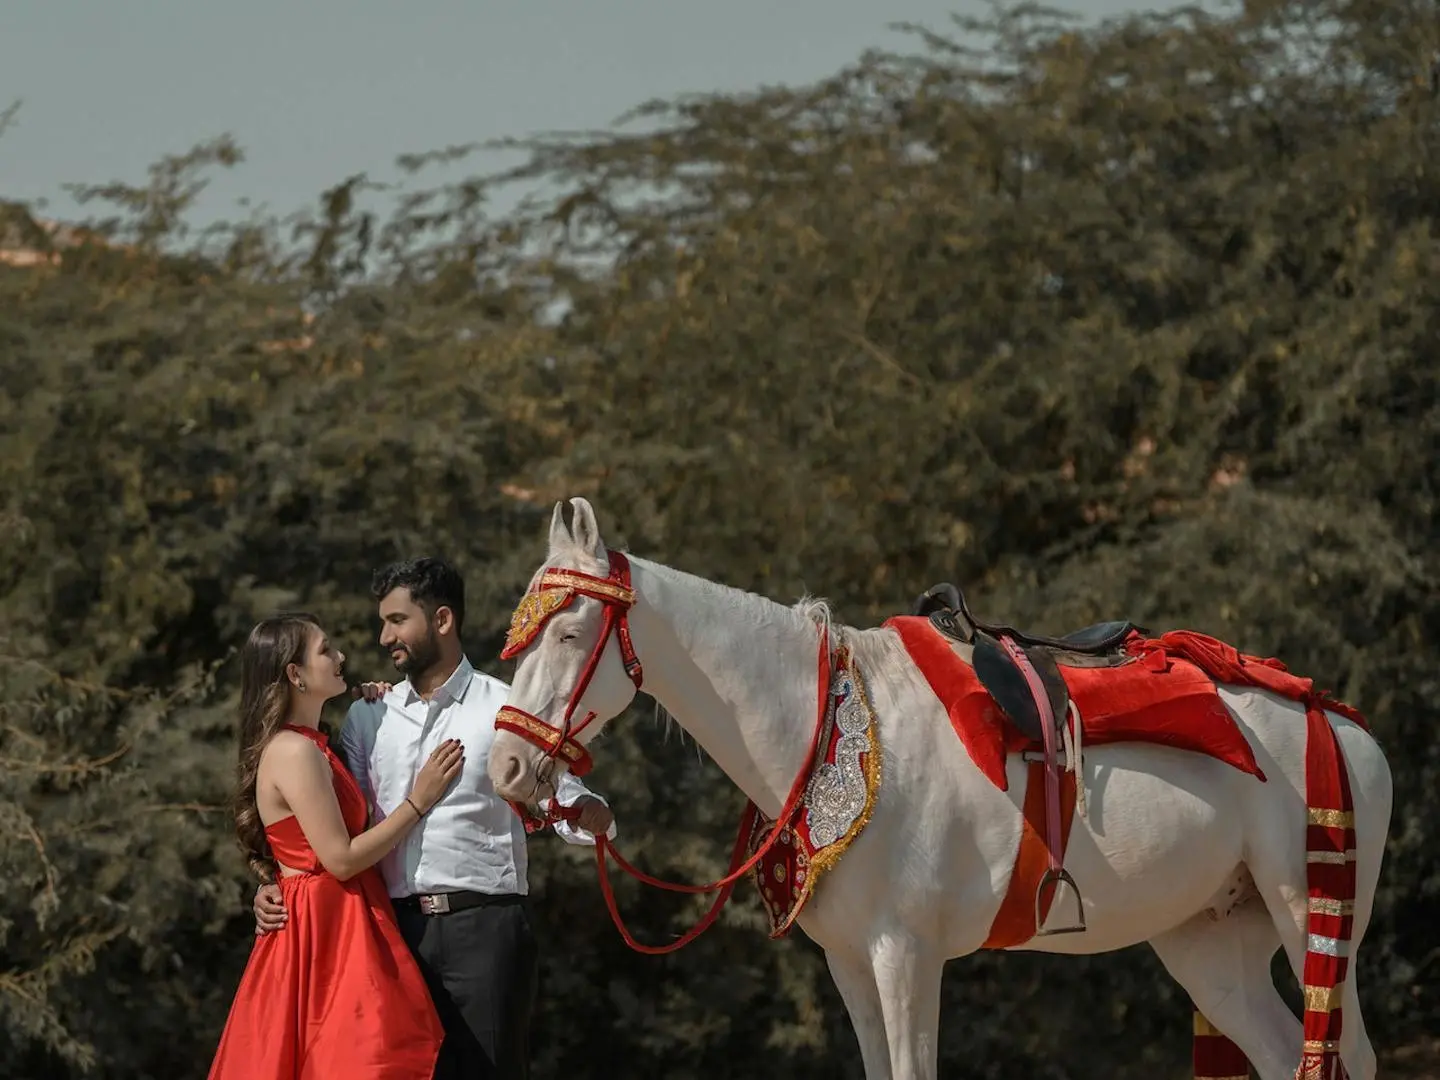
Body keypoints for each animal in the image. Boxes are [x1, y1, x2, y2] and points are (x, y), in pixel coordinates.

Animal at [489, 501, 1388, 1080]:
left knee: (1345, 1055)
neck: (834, 729)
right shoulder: (854, 965)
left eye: (571, 631)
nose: (505, 768)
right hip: (1211, 943)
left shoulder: (907, 957)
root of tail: (1336, 718)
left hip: (1312, 913)